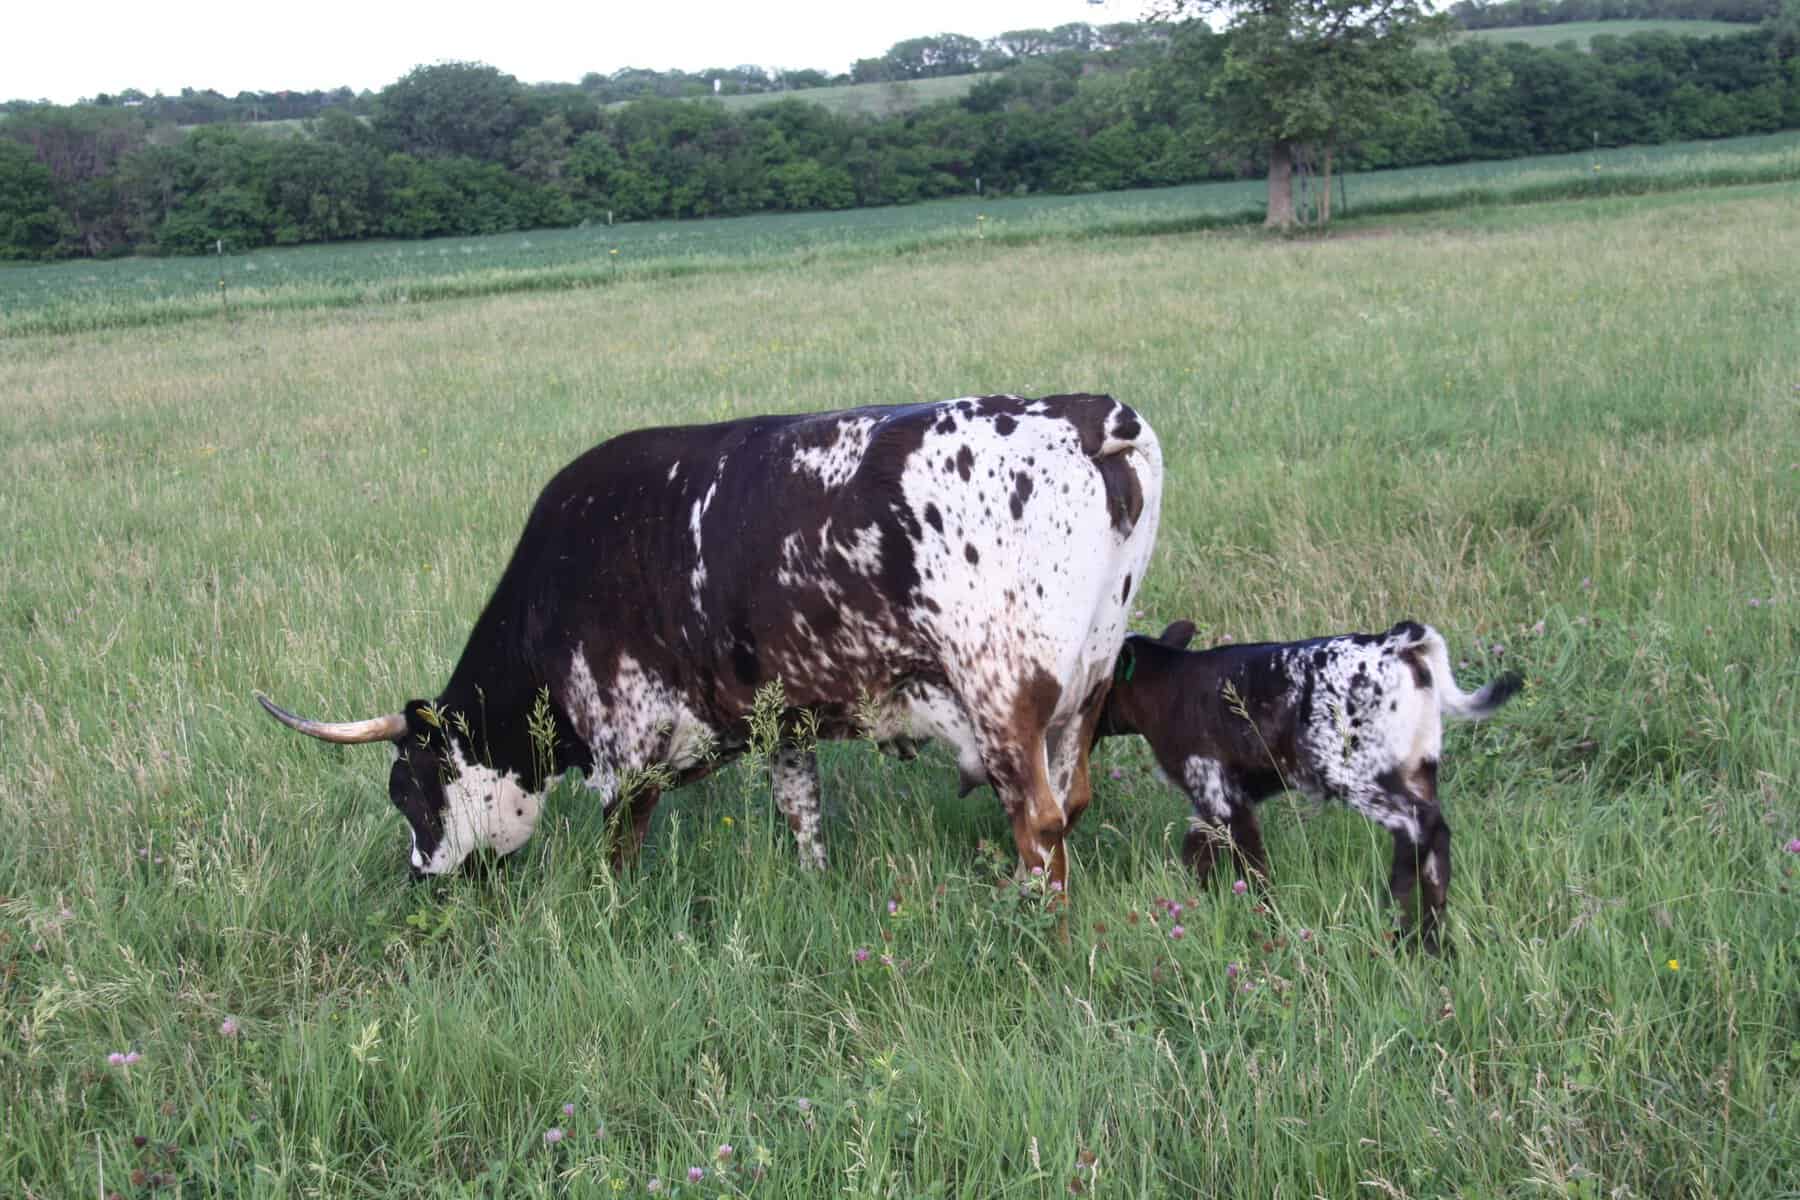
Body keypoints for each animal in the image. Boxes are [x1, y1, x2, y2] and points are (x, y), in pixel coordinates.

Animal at [258, 394, 1163, 889]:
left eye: (407, 789)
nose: (419, 879)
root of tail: (1089, 417)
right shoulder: (784, 721)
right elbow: (802, 815)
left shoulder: (628, 749)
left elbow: (618, 852)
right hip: (1086, 687)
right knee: (1072, 802)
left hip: (1006, 701)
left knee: (1039, 828)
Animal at [1094, 619, 1521, 951]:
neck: (1167, 685)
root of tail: (1395, 640)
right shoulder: (1213, 800)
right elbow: (1197, 853)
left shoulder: (1219, 792)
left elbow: (1251, 866)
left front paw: (1264, 919)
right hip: (1418, 766)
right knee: (1437, 837)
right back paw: (1432, 936)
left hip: (1351, 773)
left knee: (1418, 825)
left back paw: (1395, 915)